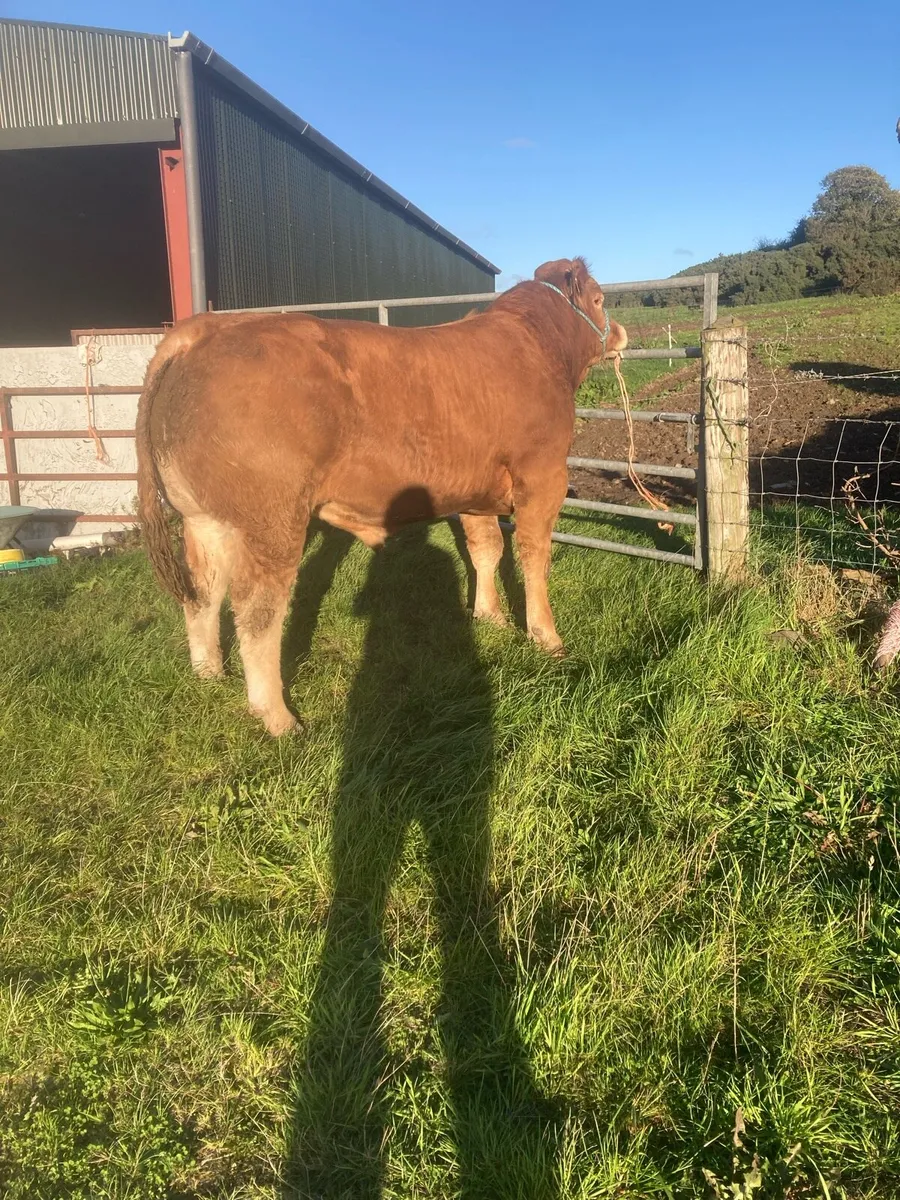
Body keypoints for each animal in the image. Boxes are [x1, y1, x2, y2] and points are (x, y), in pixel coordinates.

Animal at [136, 257, 627, 735]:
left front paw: (490, 617)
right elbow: (533, 557)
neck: (539, 351)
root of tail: (205, 329)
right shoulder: (543, 477)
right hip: (273, 521)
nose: (621, 333)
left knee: (203, 591)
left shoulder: (474, 488)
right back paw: (278, 717)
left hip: (203, 518)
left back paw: (209, 674)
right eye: (599, 299)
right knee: (258, 611)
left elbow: (486, 548)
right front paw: (547, 637)